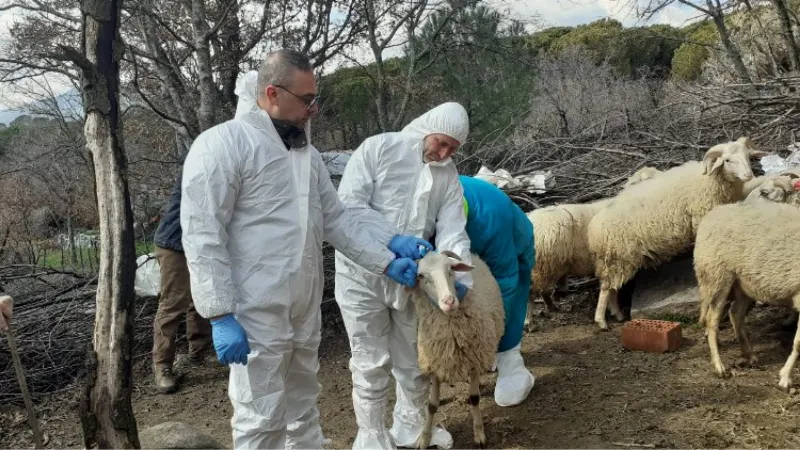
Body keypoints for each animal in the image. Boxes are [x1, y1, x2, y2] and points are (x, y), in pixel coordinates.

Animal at [410, 251, 504, 448]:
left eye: (451, 270)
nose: (449, 301)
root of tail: (474, 255)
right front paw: (424, 437)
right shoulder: (435, 364)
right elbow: (432, 404)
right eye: (421, 276)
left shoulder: (474, 360)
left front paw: (479, 433)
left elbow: (474, 398)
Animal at [584, 135, 764, 328]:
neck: (709, 180)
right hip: (618, 257)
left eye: (747, 156)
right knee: (606, 288)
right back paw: (601, 320)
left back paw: (617, 314)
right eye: (728, 160)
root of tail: (593, 228)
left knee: (611, 288)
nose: (749, 175)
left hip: (616, 260)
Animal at [696, 198, 800, 390]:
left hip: (744, 282)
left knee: (735, 313)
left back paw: (748, 354)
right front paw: (785, 378)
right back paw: (719, 366)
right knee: (712, 321)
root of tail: (714, 212)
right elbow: (798, 343)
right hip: (718, 276)